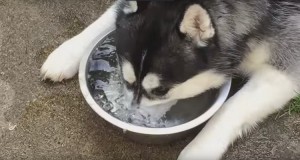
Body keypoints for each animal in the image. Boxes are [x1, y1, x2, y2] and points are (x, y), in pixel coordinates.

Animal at [41, 0, 300, 159]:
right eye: (127, 81)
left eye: (160, 91)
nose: (130, 121)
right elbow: (112, 12)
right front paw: (67, 52)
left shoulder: (285, 67)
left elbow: (230, 108)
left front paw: (199, 149)